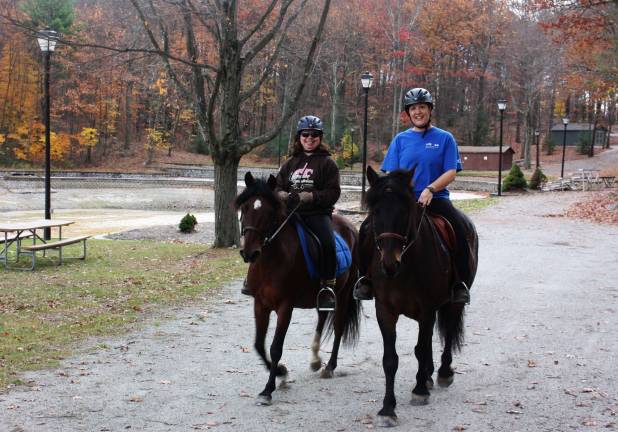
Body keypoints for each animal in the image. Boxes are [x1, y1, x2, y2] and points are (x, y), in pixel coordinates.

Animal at [235, 171, 360, 404]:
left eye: (268, 212)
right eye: (245, 208)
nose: (250, 253)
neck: (271, 260)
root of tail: (350, 227)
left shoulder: (286, 306)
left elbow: (276, 347)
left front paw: (269, 388)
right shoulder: (260, 304)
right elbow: (259, 344)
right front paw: (281, 372)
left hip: (344, 292)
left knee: (338, 326)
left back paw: (329, 366)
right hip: (323, 295)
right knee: (322, 318)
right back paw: (315, 360)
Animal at [364, 167, 478, 426]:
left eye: (404, 211)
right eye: (375, 212)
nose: (389, 264)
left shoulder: (426, 310)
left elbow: (421, 348)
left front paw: (419, 390)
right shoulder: (385, 311)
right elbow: (391, 359)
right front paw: (388, 408)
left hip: (453, 303)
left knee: (448, 333)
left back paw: (442, 373)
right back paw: (427, 375)